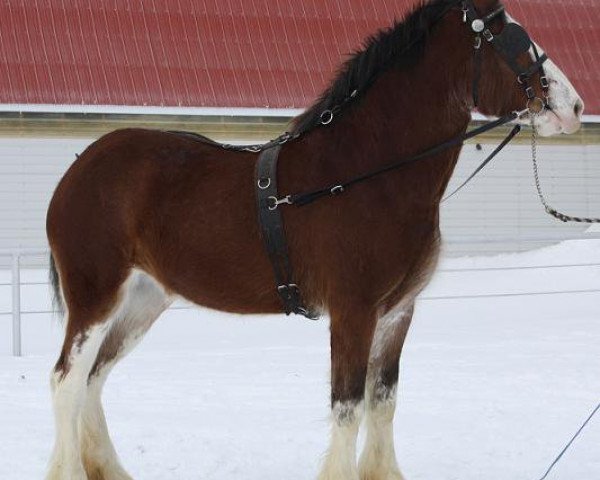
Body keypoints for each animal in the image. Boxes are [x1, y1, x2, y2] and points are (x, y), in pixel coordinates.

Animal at [44, 0, 584, 480]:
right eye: (509, 35)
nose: (573, 106)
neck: (365, 174)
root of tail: (78, 168)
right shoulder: (353, 311)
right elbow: (348, 405)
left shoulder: (397, 314)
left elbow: (383, 401)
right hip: (96, 296)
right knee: (68, 381)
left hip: (142, 300)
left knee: (94, 379)